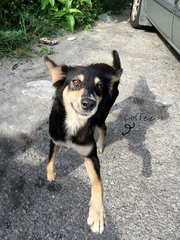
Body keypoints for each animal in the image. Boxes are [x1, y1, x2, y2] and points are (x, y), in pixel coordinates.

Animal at [44, 50, 122, 232]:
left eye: (99, 87)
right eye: (75, 81)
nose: (89, 103)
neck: (74, 122)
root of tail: (110, 68)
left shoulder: (90, 156)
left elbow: (98, 184)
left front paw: (97, 215)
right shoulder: (54, 139)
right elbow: (49, 161)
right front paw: (51, 175)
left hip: (101, 114)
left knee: (104, 127)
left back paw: (100, 144)